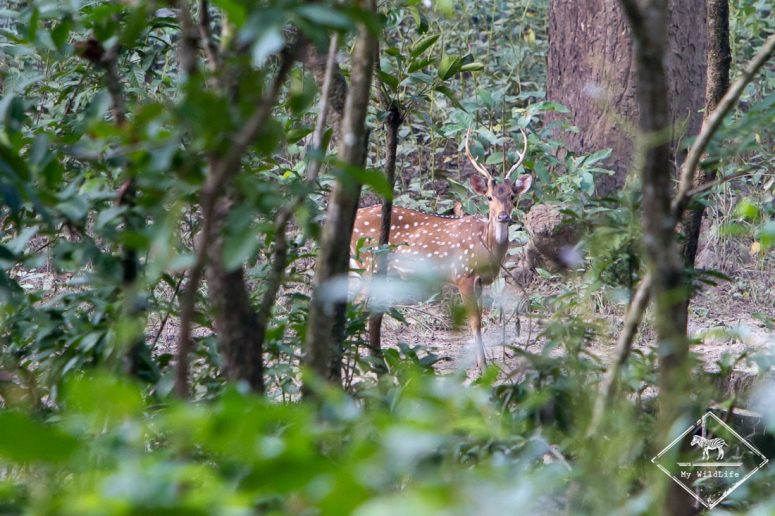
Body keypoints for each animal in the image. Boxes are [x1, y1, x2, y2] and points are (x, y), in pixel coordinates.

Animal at [350, 128, 533, 371]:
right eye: (489, 197)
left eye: (512, 196)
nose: (503, 216)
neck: (486, 249)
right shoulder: (463, 274)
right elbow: (475, 321)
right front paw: (482, 366)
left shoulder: (479, 282)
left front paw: (481, 362)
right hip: (368, 262)